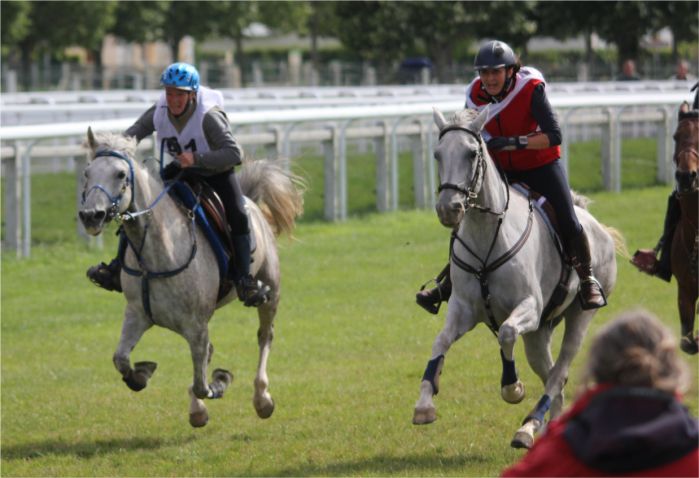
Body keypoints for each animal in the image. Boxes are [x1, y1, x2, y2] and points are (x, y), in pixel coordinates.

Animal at [79, 127, 304, 426]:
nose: (91, 216)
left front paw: (220, 382)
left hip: (271, 291)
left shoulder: (196, 325)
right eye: (87, 172)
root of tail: (251, 203)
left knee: (264, 337)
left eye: (120, 174)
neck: (157, 253)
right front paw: (143, 373)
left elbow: (201, 384)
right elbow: (121, 360)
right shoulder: (137, 314)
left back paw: (262, 399)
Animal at [412, 108, 620, 448]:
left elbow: (507, 334)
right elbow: (440, 342)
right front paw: (424, 405)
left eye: (472, 154)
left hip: (579, 316)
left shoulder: (529, 308)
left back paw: (528, 427)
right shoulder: (463, 309)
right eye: (437, 154)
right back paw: (545, 428)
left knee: (559, 372)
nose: (448, 209)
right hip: (539, 333)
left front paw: (513, 388)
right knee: (551, 373)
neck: (487, 235)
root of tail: (598, 227)